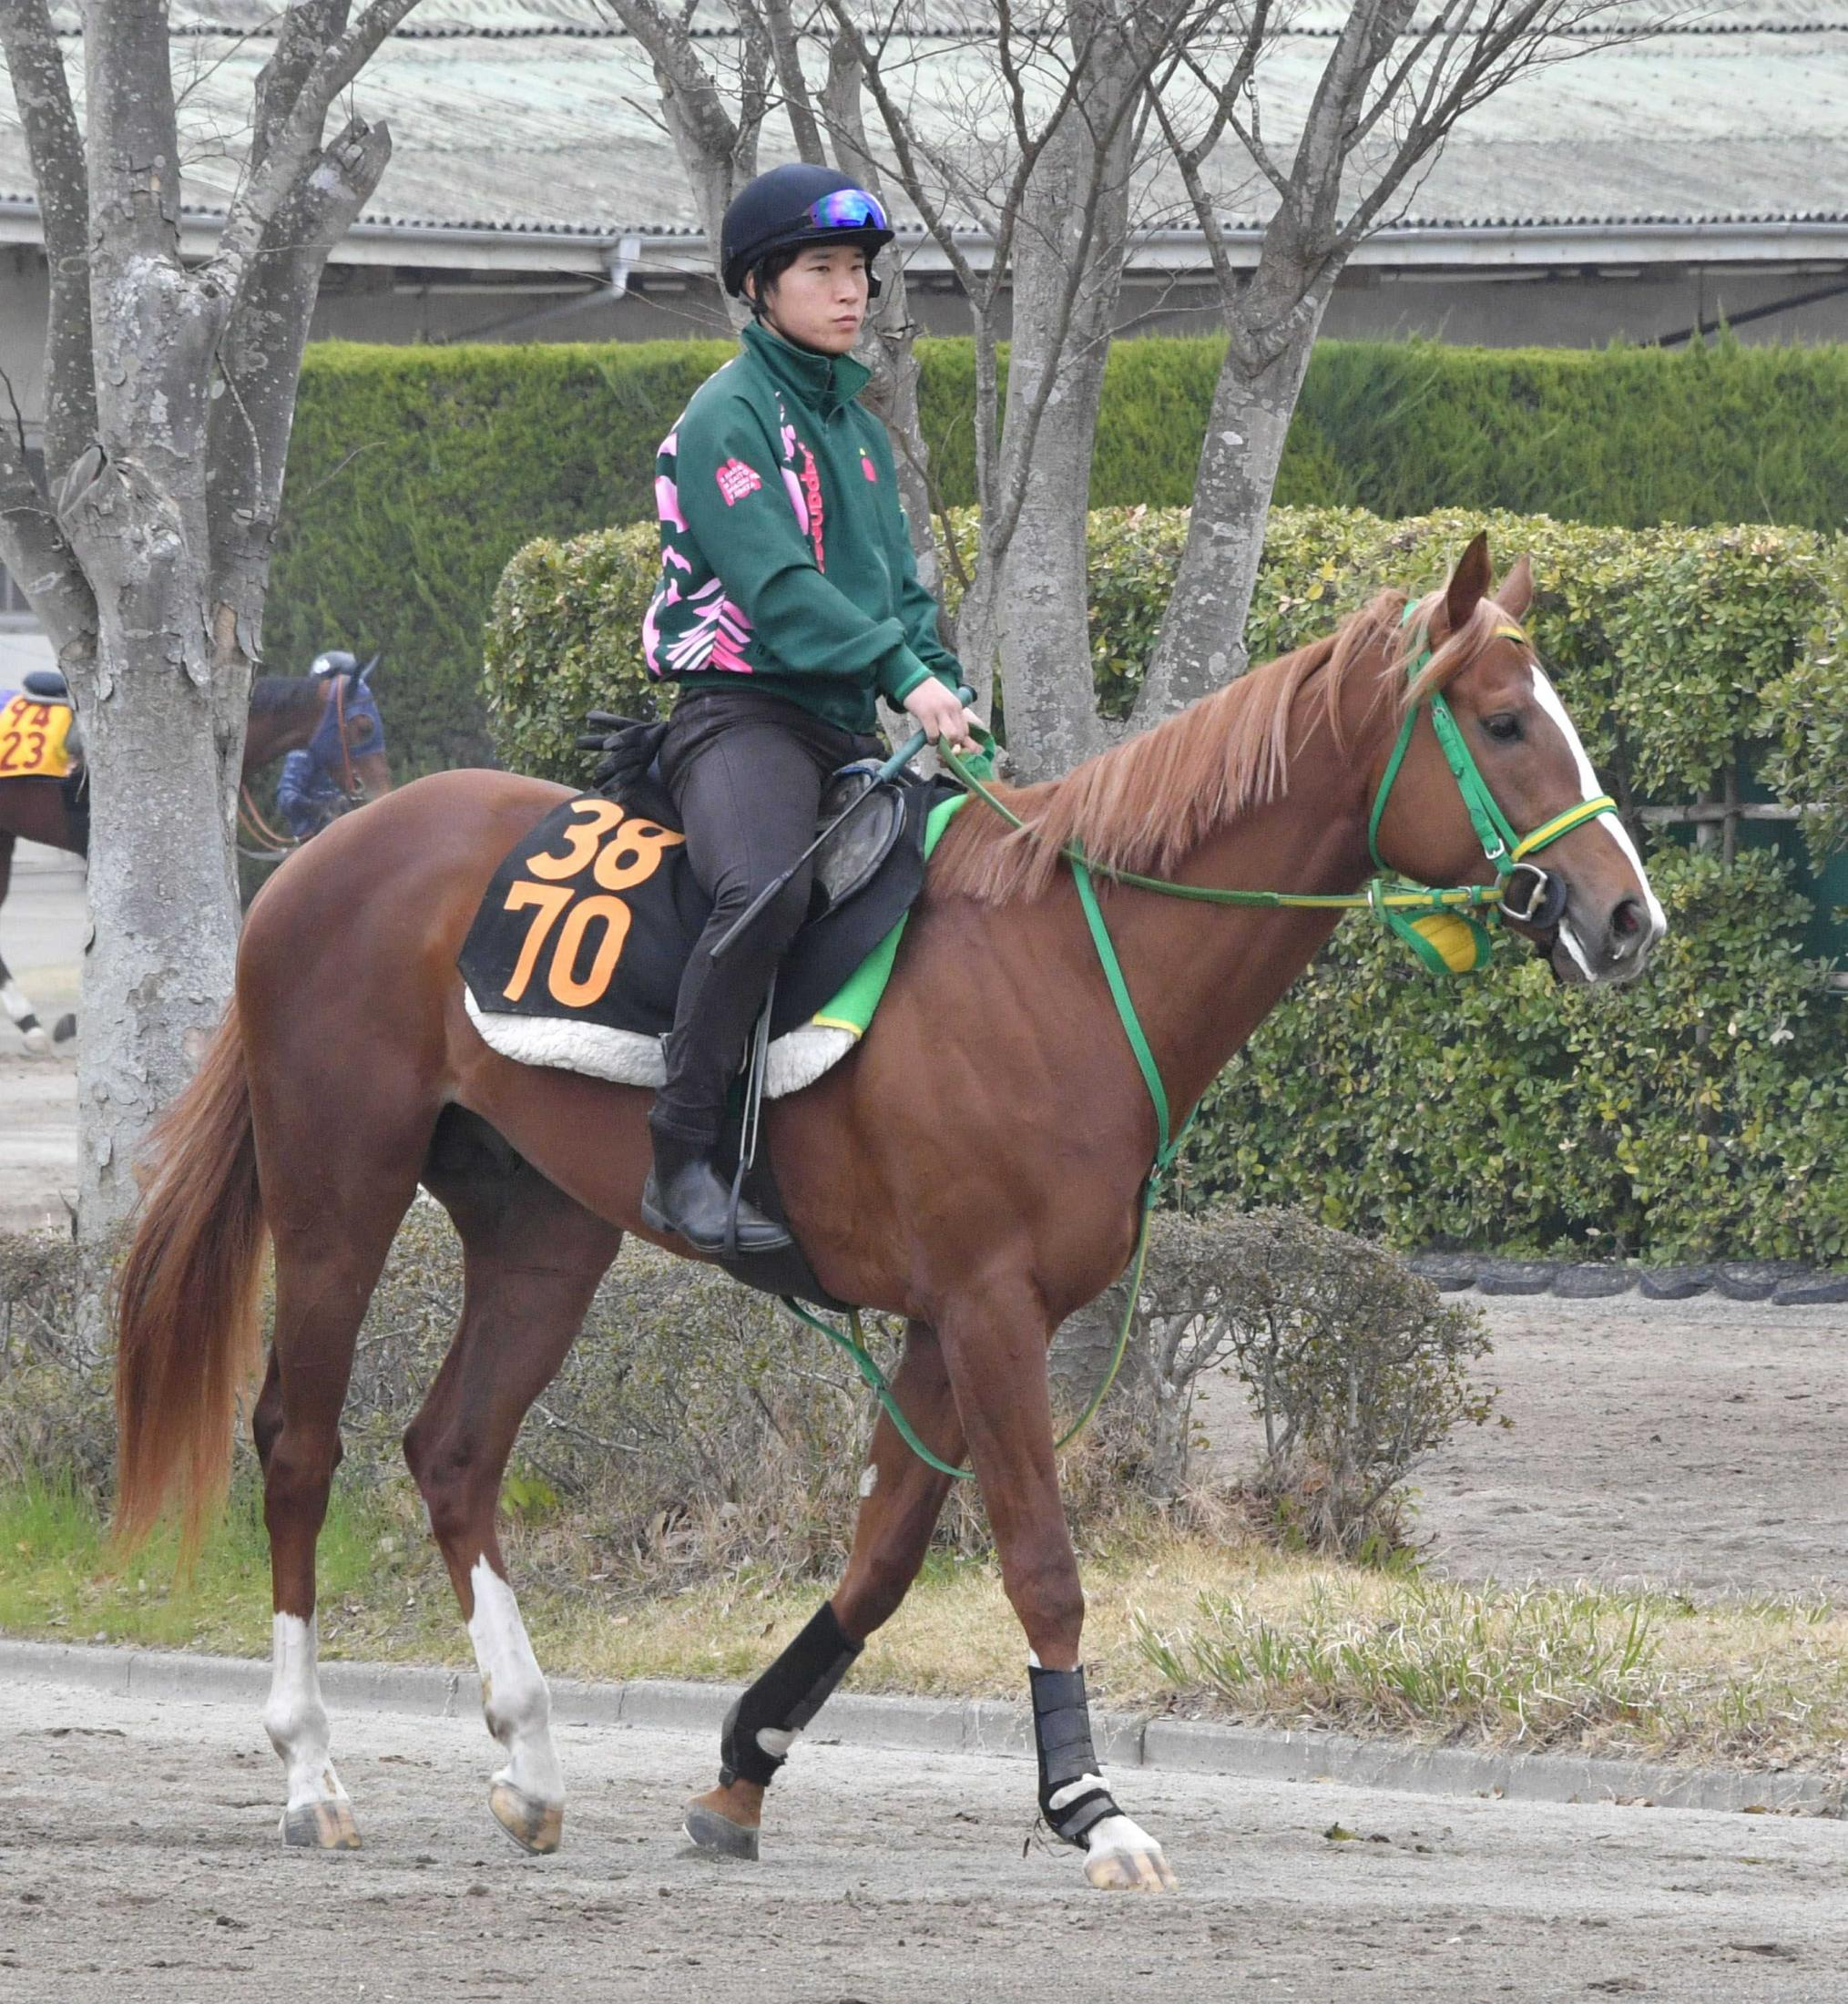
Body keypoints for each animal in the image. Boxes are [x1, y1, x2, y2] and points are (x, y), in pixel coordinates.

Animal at [112, 535, 1662, 1890]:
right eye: (1507, 723)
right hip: (338, 1192)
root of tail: (330, 853)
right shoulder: (988, 1313)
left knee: (452, 1453)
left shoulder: (939, 1327)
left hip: (543, 1230)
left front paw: (742, 1767)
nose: (1627, 916)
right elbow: (1040, 1565)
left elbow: (877, 1568)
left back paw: (533, 1758)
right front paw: (1090, 1807)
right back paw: (312, 1770)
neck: (1063, 962)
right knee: (299, 1445)